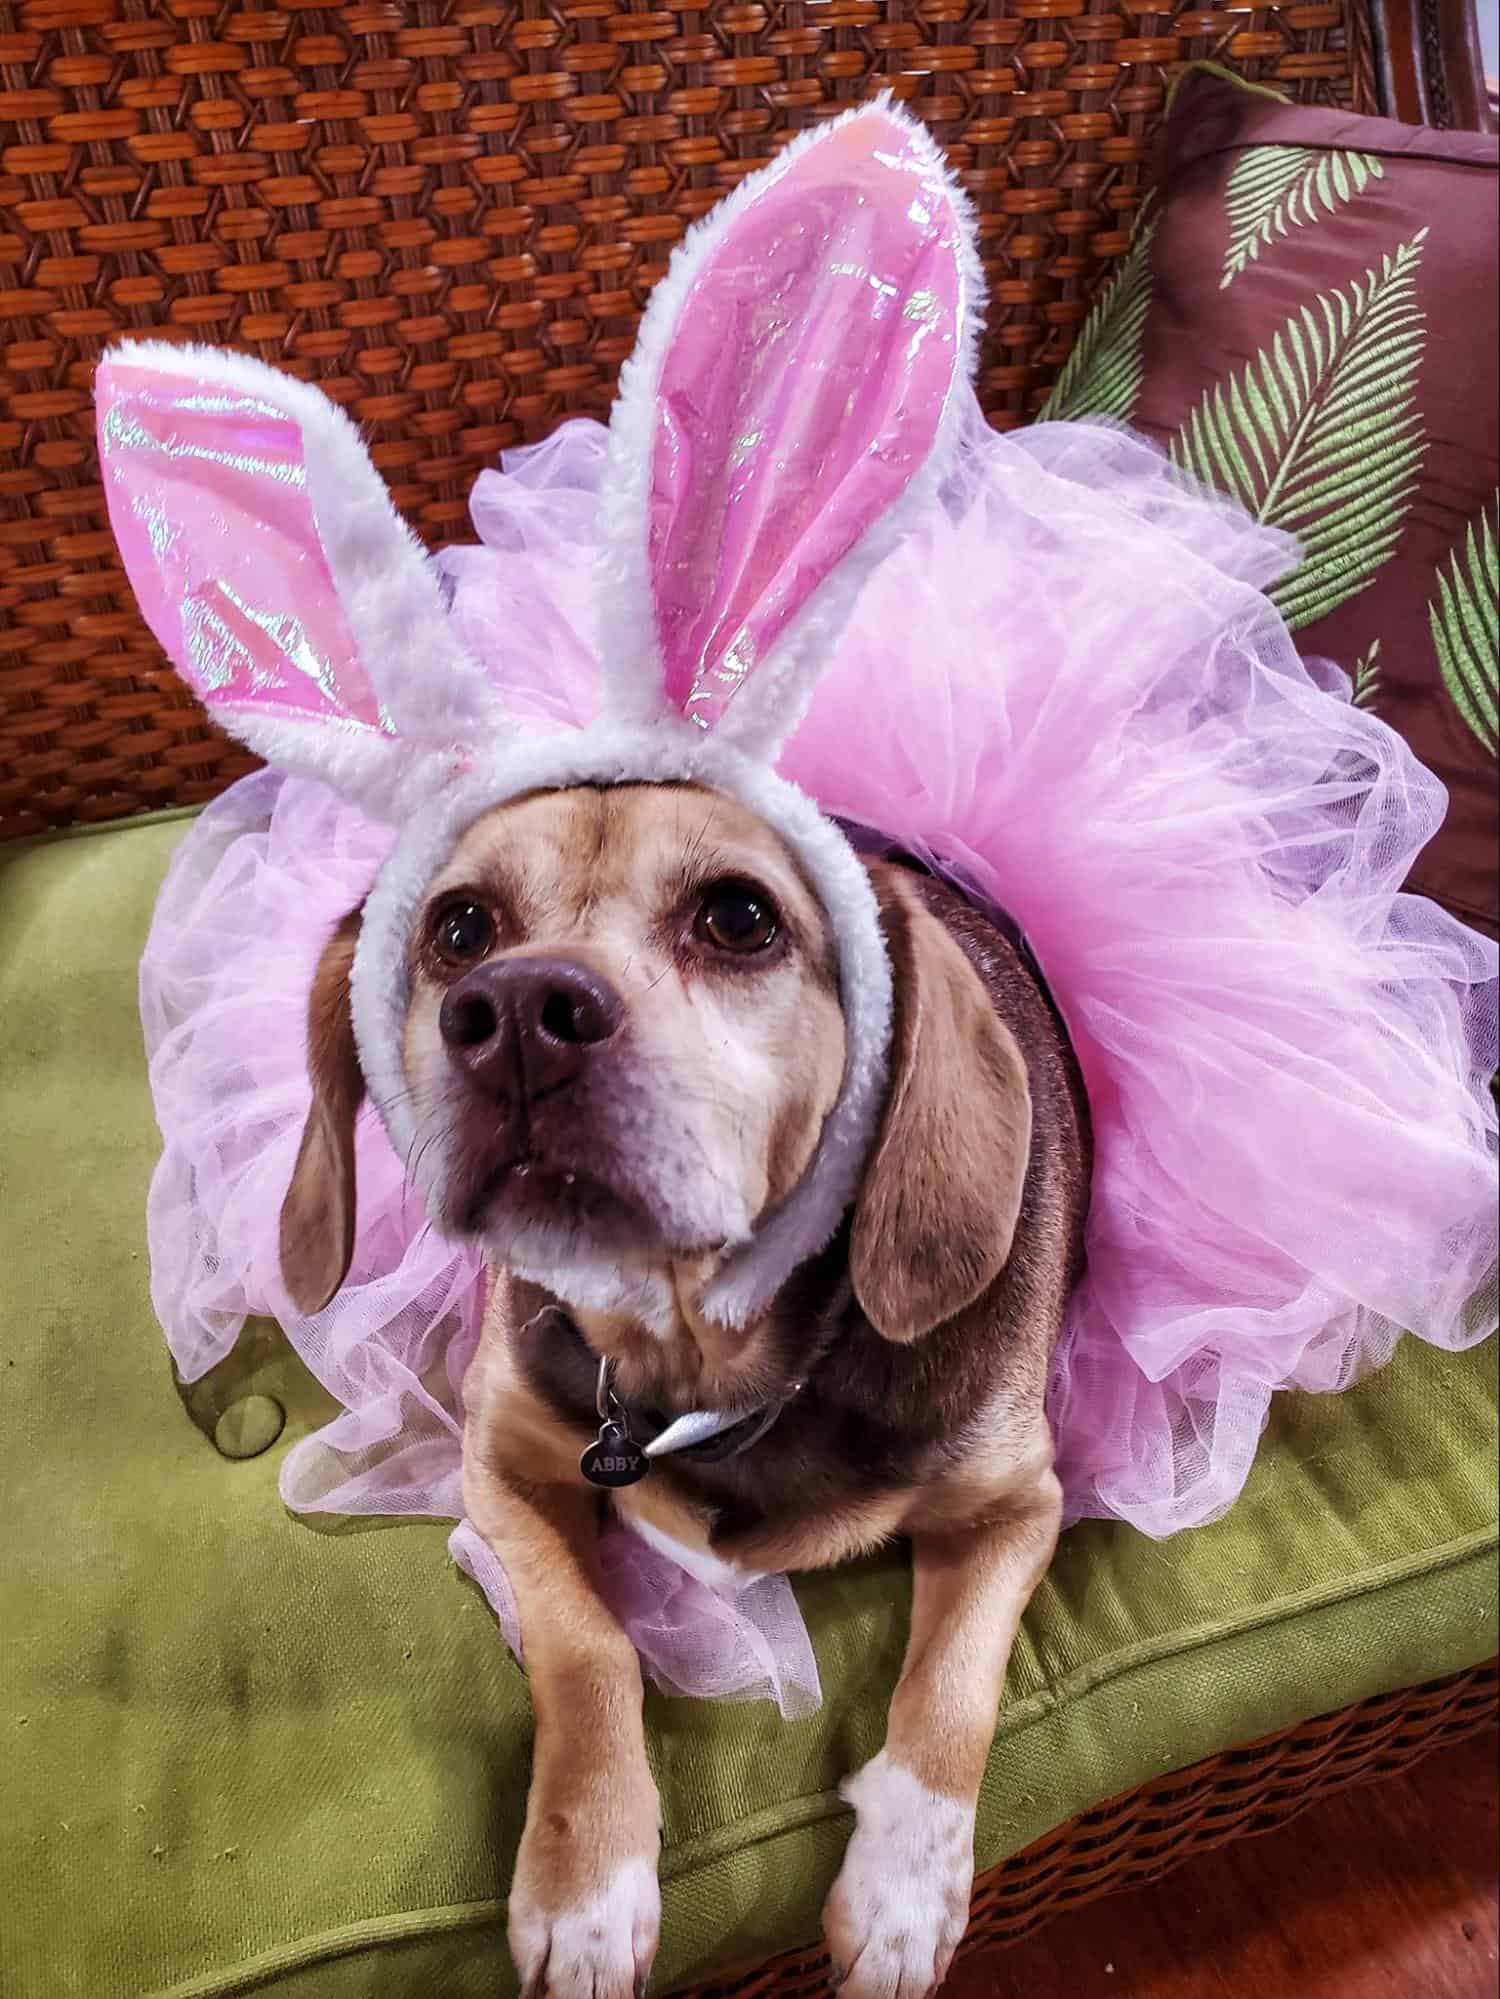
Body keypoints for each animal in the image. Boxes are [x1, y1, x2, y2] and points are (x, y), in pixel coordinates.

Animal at [280, 775, 1096, 1999]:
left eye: (739, 916)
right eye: (461, 929)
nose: (513, 1012)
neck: (693, 1352)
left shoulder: (1018, 1504)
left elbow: (953, 1691)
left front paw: (904, 1895)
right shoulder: (500, 1455)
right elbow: (588, 1643)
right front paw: (589, 1888)